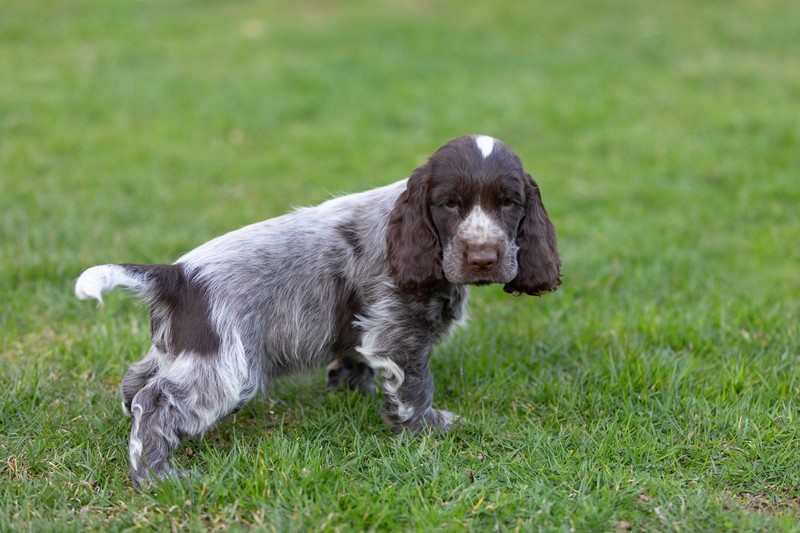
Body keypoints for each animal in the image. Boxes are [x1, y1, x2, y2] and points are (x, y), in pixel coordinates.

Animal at [76, 134, 564, 486]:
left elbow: (356, 360)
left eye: (509, 202)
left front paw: (352, 392)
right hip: (225, 371)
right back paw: (157, 476)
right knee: (155, 403)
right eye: (449, 204)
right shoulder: (399, 333)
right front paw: (427, 428)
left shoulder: (367, 329)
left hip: (180, 350)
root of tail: (176, 275)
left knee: (136, 380)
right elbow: (414, 387)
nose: (483, 257)